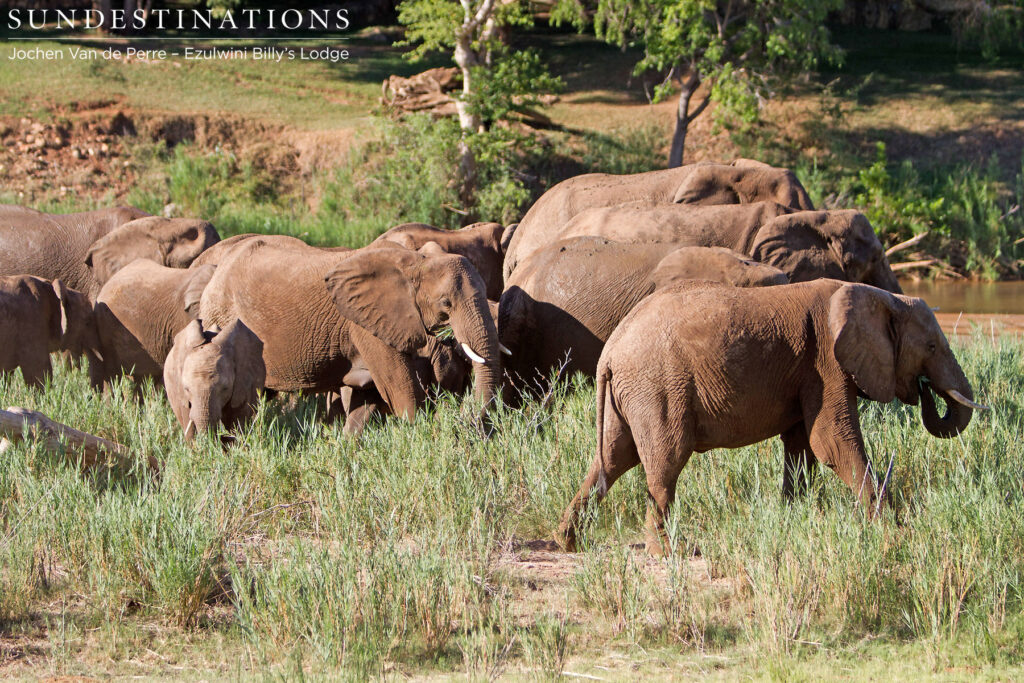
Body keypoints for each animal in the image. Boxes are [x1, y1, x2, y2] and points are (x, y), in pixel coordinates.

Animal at [198, 235, 500, 424]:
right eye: (446, 303)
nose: (466, 418)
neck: (415, 260)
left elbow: (368, 398)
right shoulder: (365, 325)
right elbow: (399, 390)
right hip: (220, 315)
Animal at [555, 279, 986, 554]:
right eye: (932, 346)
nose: (924, 387)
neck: (878, 296)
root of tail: (610, 354)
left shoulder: (809, 371)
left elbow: (802, 447)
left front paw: (791, 520)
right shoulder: (827, 362)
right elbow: (831, 442)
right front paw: (893, 529)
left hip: (632, 394)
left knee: (613, 459)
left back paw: (568, 541)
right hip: (658, 386)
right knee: (665, 461)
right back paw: (666, 552)